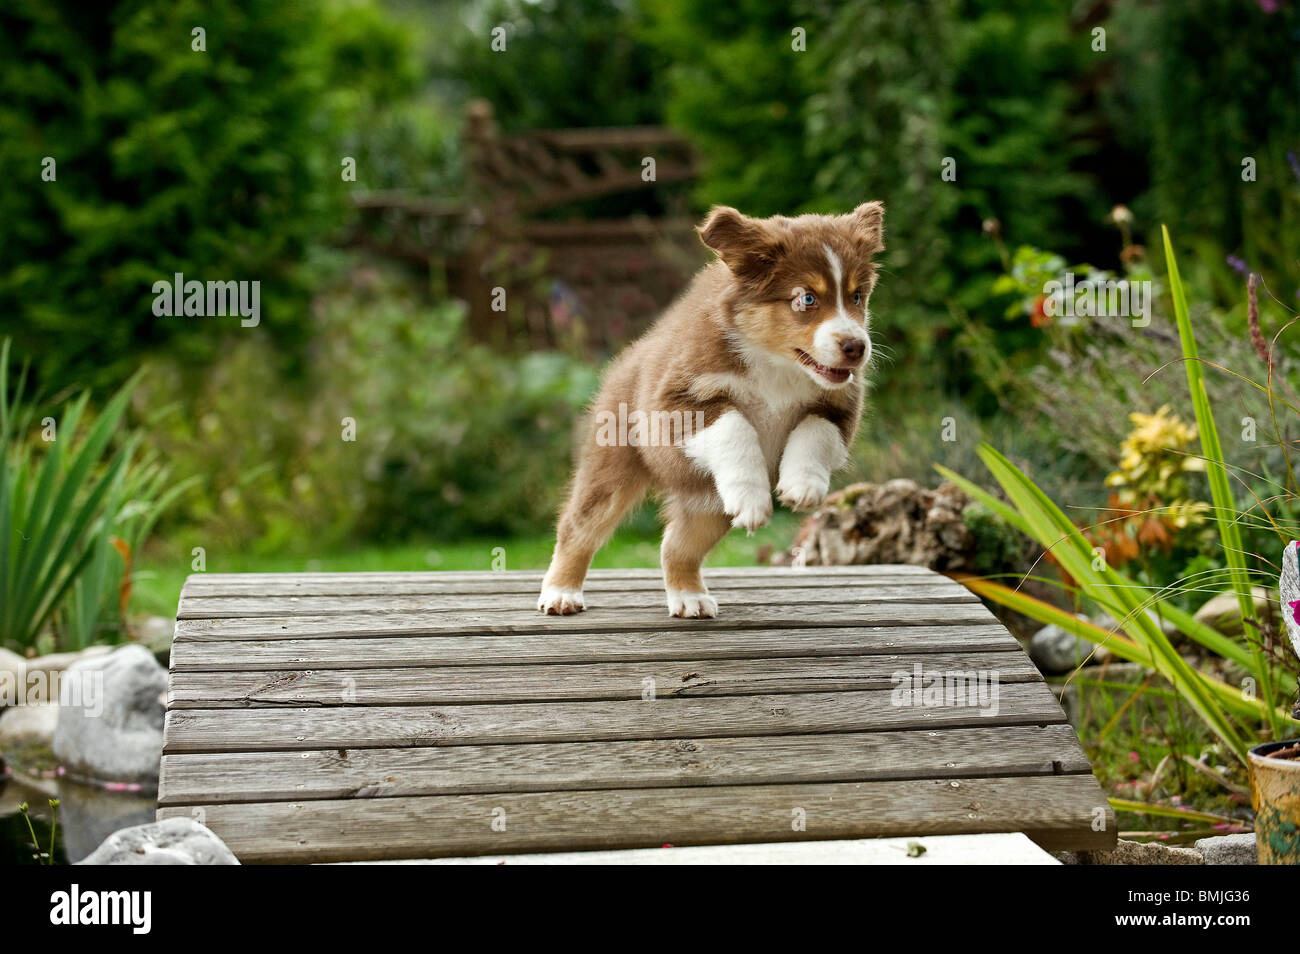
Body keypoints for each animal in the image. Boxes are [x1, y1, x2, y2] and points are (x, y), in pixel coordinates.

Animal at [538, 202, 883, 621]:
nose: (857, 347)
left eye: (857, 296)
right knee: (577, 530)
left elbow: (814, 431)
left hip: (709, 504)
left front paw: (802, 485)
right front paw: (752, 496)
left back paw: (689, 597)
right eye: (807, 299)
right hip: (610, 472)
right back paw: (560, 593)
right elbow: (735, 426)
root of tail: (629, 356)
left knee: (675, 545)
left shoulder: (840, 406)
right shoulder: (677, 400)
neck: (776, 365)